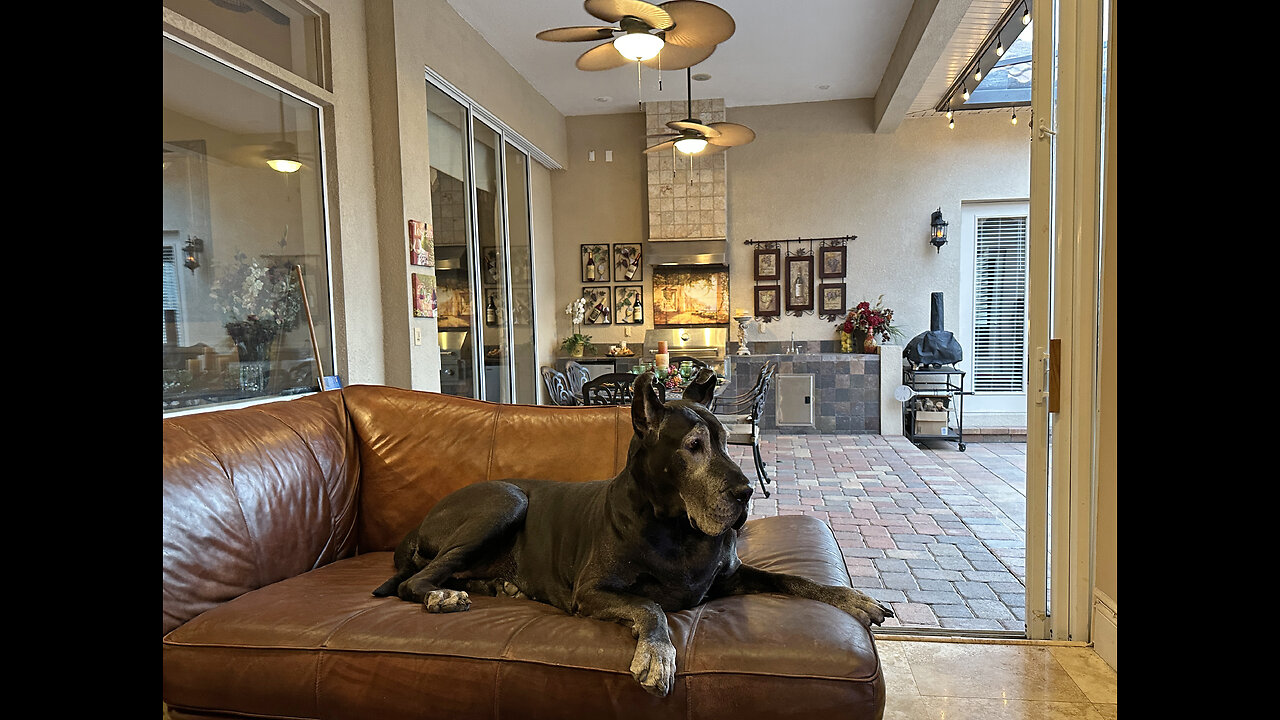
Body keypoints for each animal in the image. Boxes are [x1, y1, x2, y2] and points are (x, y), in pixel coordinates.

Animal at [373, 366, 885, 691]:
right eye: (694, 446)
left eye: (725, 439)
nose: (745, 493)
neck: (678, 529)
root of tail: (422, 522)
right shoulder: (593, 592)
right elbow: (649, 607)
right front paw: (657, 654)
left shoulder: (732, 575)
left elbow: (793, 577)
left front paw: (853, 598)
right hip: (506, 501)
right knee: (415, 581)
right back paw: (442, 596)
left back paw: (499, 586)